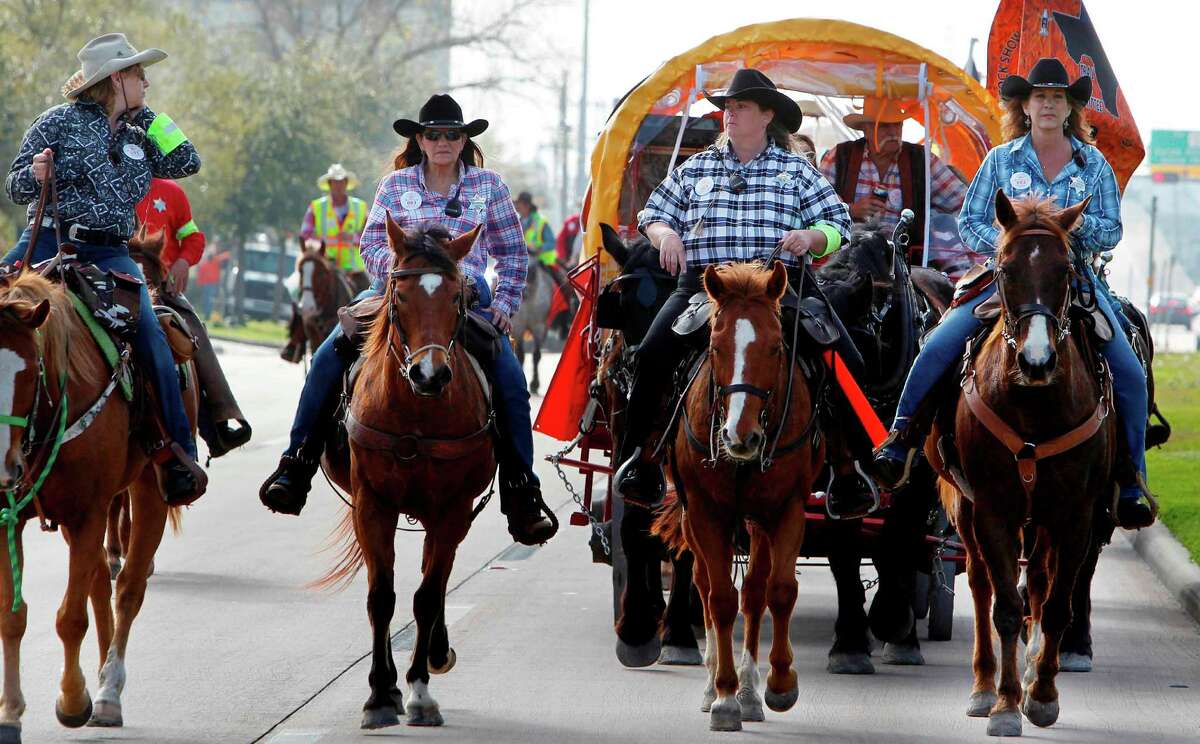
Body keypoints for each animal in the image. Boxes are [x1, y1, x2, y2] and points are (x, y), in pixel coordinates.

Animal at [0, 253, 196, 739]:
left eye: (28, 373)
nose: (0, 465)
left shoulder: (88, 514)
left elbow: (70, 619)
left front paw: (72, 701)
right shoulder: (8, 517)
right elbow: (12, 617)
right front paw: (10, 713)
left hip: (149, 492)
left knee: (126, 589)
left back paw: (108, 692)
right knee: (98, 586)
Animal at [314, 218, 496, 729]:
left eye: (456, 297)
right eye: (401, 297)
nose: (429, 374)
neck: (417, 414)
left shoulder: (453, 510)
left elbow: (427, 596)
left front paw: (419, 692)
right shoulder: (373, 504)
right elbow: (383, 596)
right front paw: (380, 694)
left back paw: (434, 655)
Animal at [657, 262, 825, 734]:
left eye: (775, 346)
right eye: (715, 346)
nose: (739, 436)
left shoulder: (785, 509)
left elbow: (777, 591)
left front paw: (778, 684)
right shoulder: (705, 512)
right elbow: (719, 599)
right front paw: (724, 695)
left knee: (754, 592)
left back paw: (751, 690)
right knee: (704, 584)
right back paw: (714, 682)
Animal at [926, 192, 1113, 739]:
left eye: (1066, 269)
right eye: (1006, 269)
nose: (1036, 361)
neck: (1034, 405)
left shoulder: (1075, 516)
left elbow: (1054, 606)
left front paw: (1043, 695)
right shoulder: (993, 509)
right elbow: (1006, 607)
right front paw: (1007, 704)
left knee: (1041, 587)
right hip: (965, 510)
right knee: (980, 585)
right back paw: (984, 687)